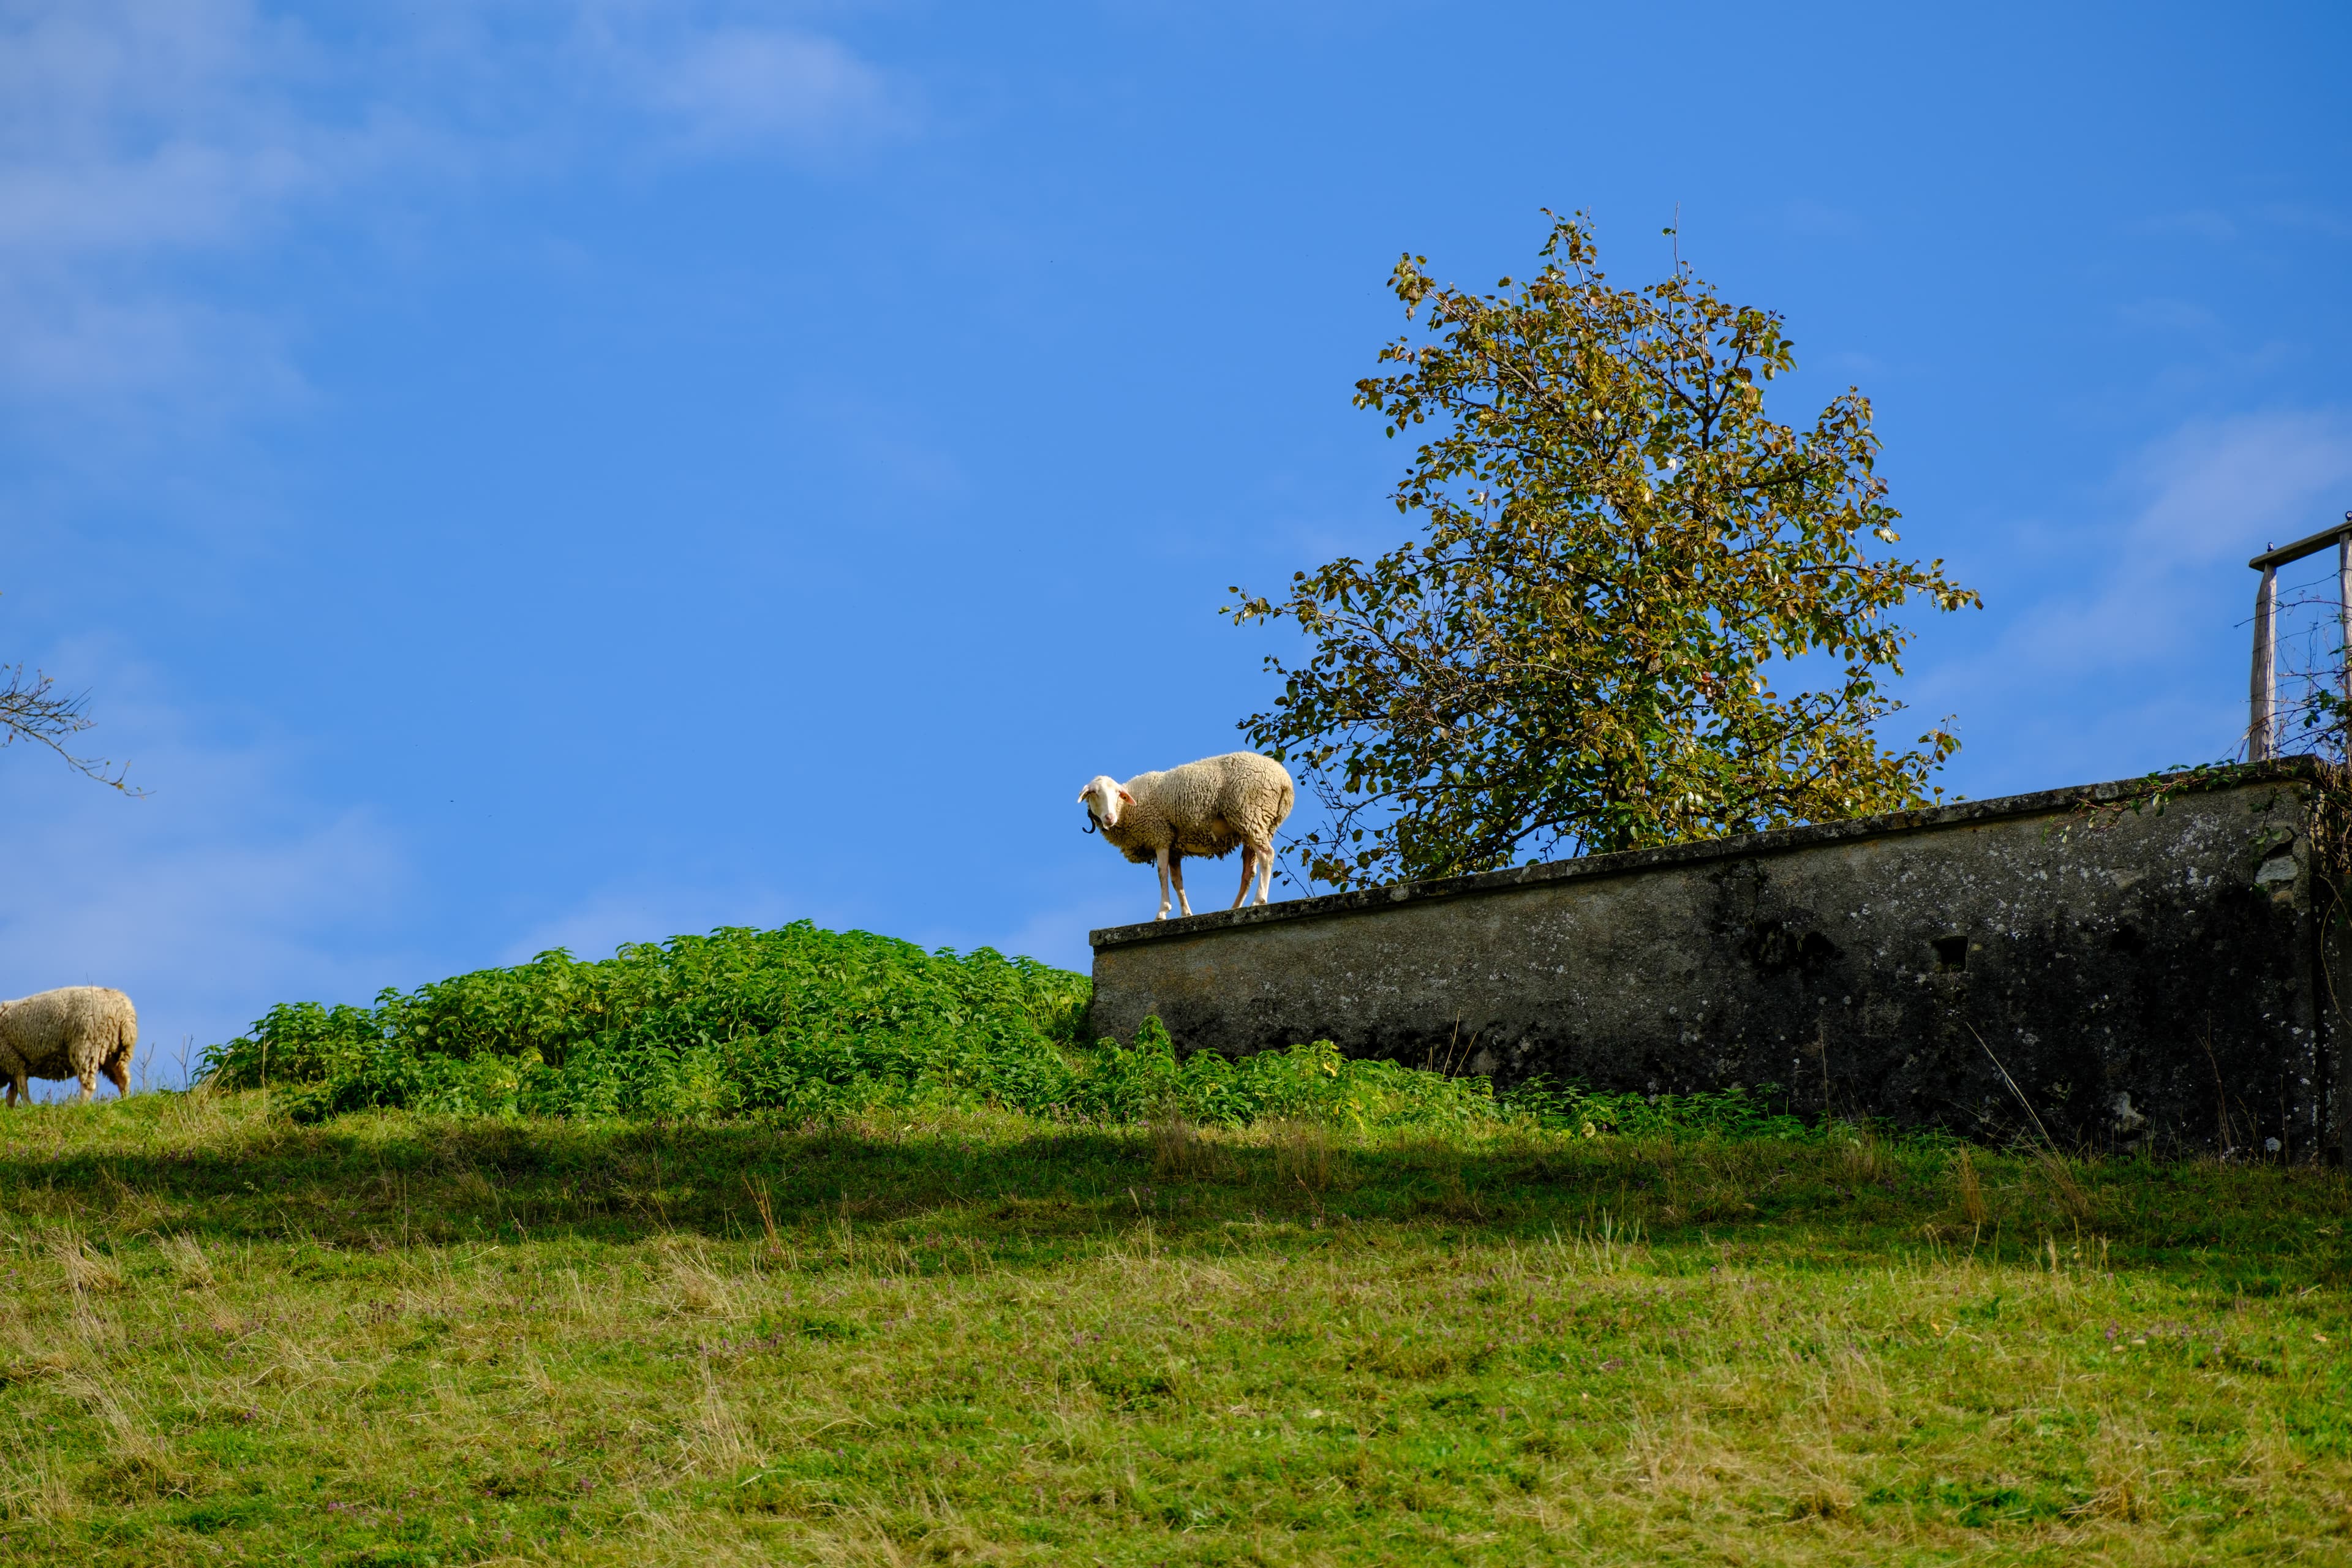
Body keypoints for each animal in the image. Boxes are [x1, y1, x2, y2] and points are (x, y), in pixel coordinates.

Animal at [0, 987, 138, 1107]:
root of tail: (125, 1013)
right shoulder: (14, 1064)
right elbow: (12, 1093)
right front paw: (13, 1110)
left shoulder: (12, 1058)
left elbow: (22, 1088)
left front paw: (28, 1107)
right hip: (115, 1053)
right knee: (123, 1079)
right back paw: (125, 1102)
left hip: (88, 1046)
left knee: (89, 1085)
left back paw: (79, 1107)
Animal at [1077, 751, 1295, 920]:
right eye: (1093, 793)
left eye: (1117, 794)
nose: (1109, 817)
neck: (1127, 810)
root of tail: (1284, 779)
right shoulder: (1174, 846)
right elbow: (1177, 882)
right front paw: (1186, 914)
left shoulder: (1160, 835)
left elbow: (1162, 874)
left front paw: (1162, 912)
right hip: (1257, 824)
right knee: (1248, 872)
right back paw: (1235, 908)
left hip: (1249, 812)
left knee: (1267, 855)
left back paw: (1259, 901)